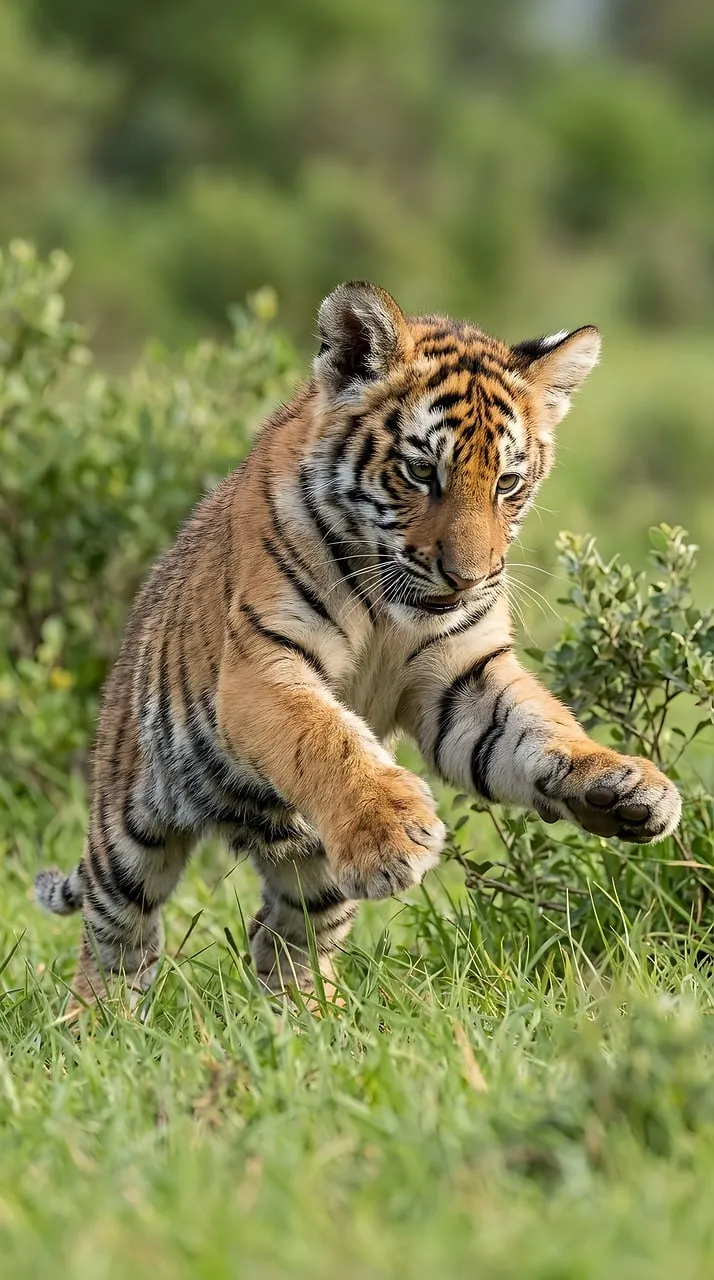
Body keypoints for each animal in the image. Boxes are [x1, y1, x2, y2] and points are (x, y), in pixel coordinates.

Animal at [35, 281, 681, 1012]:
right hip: (127, 828)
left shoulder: (464, 680)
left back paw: (311, 1023)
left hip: (309, 871)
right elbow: (321, 735)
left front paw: (625, 786)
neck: (389, 608)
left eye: (508, 483)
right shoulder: (262, 665)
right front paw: (389, 832)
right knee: (117, 939)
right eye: (421, 471)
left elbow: (542, 727)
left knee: (284, 937)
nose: (470, 577)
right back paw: (97, 1024)